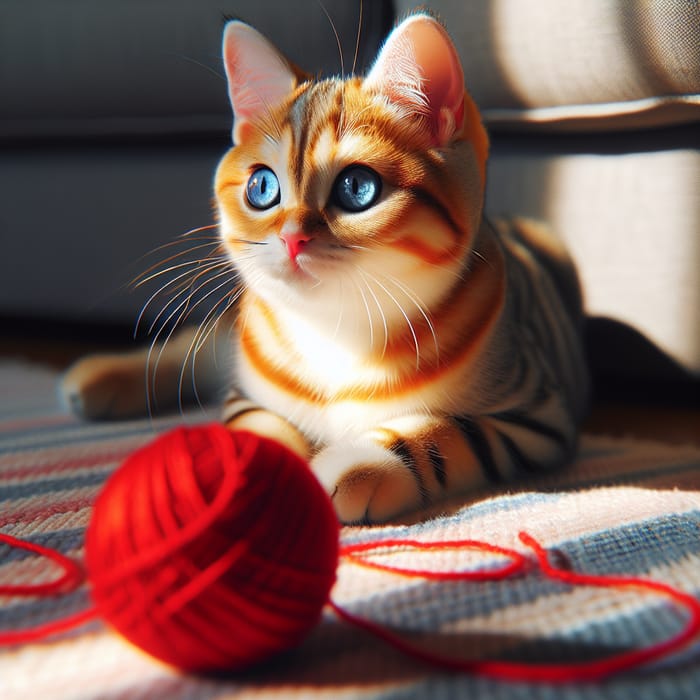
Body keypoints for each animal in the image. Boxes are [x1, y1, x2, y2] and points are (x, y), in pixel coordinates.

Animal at [63, 13, 592, 524]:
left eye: (357, 188)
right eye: (261, 187)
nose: (292, 238)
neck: (335, 332)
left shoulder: (534, 414)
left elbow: (448, 432)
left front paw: (361, 465)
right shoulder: (245, 394)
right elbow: (253, 427)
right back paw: (100, 377)